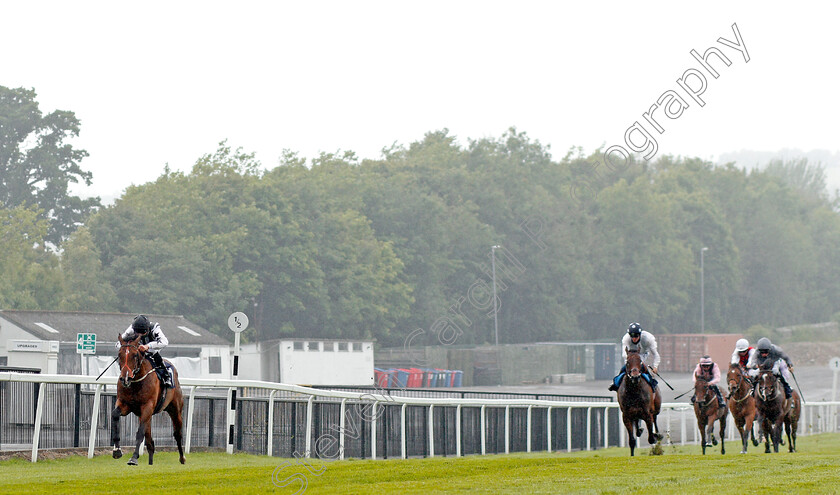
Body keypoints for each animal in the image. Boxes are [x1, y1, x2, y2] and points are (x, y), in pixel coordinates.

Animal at [111, 336, 185, 466]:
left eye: (135, 355)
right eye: (119, 354)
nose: (125, 378)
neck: (135, 383)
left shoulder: (147, 407)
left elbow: (140, 433)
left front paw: (133, 458)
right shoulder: (124, 404)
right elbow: (115, 415)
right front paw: (117, 451)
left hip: (175, 410)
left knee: (177, 433)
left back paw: (182, 458)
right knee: (150, 442)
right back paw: (150, 463)